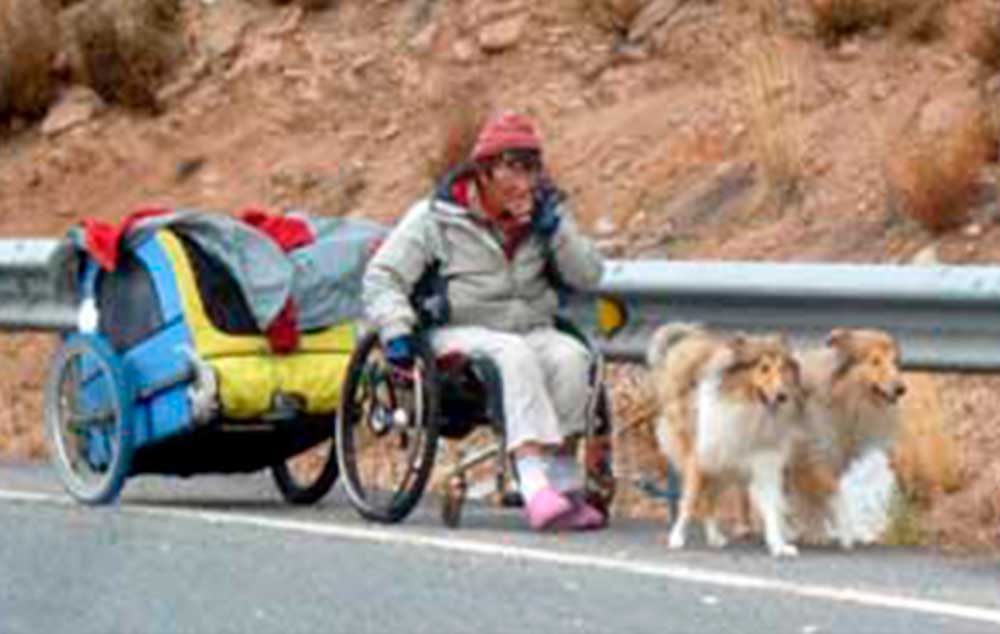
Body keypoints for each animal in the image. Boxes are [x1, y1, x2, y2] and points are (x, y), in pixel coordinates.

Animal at [648, 324, 804, 556]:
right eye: (763, 368)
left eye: (782, 367)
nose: (782, 396)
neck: (750, 408)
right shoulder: (699, 458)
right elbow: (689, 501)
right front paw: (676, 537)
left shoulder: (765, 463)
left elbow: (772, 507)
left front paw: (778, 545)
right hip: (712, 459)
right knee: (705, 498)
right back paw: (710, 536)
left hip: (723, 468)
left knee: (711, 499)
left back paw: (714, 536)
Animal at [784, 328, 912, 544]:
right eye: (875, 361)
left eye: (894, 362)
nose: (901, 389)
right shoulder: (811, 459)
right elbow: (827, 497)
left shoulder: (825, 462)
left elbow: (814, 505)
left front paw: (815, 534)